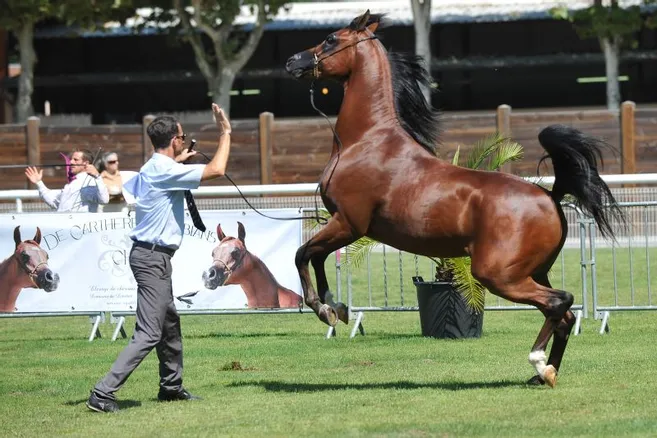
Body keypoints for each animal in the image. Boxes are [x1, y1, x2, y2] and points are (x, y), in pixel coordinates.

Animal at [284, 10, 624, 388]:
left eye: (330, 39)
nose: (292, 61)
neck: (367, 141)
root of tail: (550, 197)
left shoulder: (348, 223)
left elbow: (303, 254)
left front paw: (324, 309)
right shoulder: (345, 226)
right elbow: (316, 257)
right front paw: (336, 308)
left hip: (499, 275)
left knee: (560, 302)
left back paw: (539, 364)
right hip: (531, 272)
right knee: (563, 316)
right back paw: (543, 375)